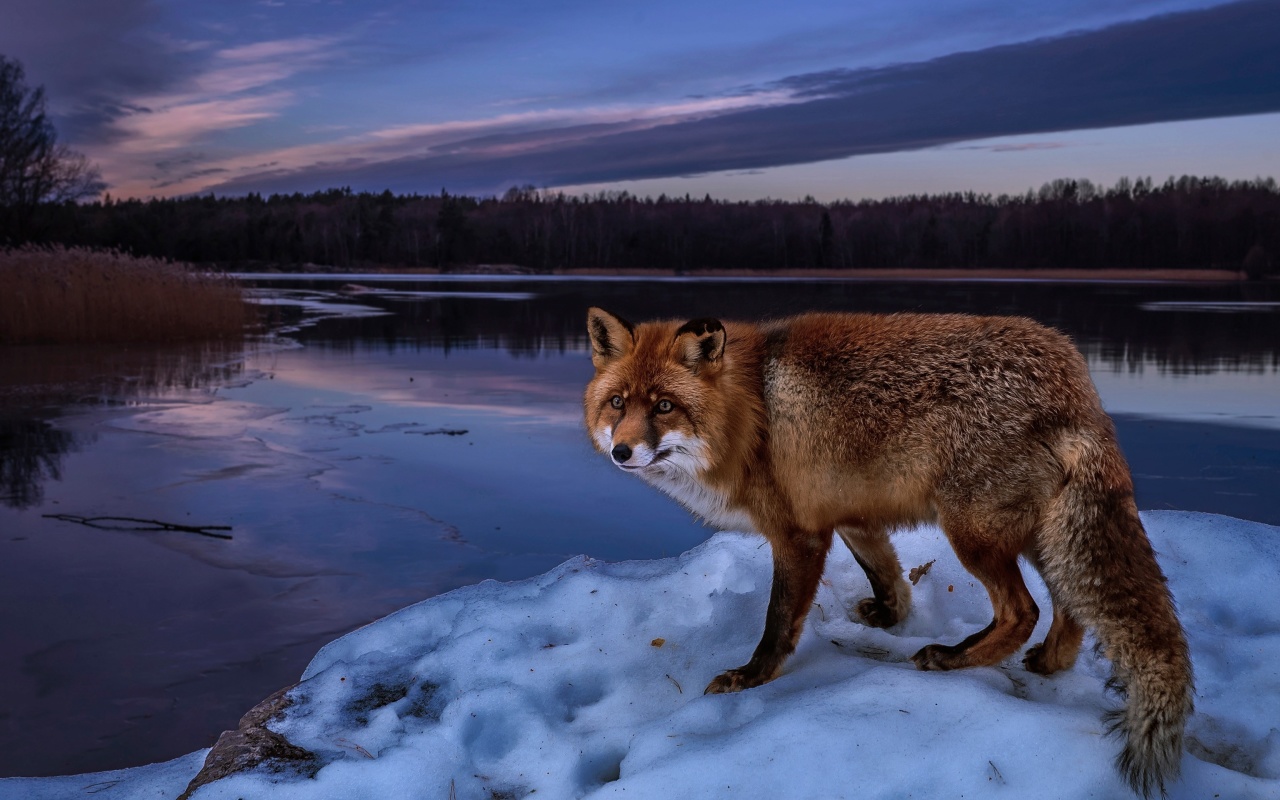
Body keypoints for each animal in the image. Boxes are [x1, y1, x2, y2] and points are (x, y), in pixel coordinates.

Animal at [586, 307, 1192, 798]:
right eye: (617, 403)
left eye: (665, 407)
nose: (621, 452)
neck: (751, 412)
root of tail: (1074, 379)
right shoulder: (852, 516)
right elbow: (888, 576)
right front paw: (889, 616)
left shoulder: (799, 535)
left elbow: (778, 622)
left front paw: (752, 678)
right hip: (1039, 534)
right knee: (1070, 608)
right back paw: (1047, 663)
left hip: (973, 535)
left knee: (1024, 611)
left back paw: (952, 659)